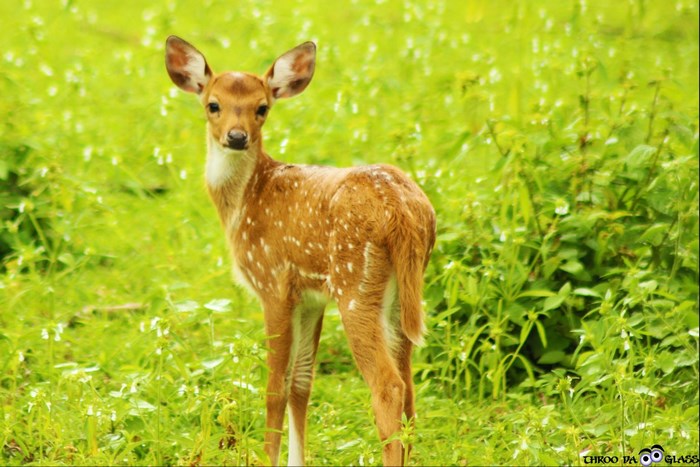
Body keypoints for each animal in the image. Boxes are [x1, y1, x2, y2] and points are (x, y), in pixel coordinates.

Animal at [165, 35, 436, 466]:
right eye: (213, 105)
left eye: (262, 107)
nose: (237, 137)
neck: (245, 200)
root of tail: (405, 212)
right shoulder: (311, 297)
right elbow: (302, 383)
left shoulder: (273, 282)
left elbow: (275, 387)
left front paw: (268, 458)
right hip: (403, 294)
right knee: (409, 387)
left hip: (355, 283)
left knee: (388, 386)